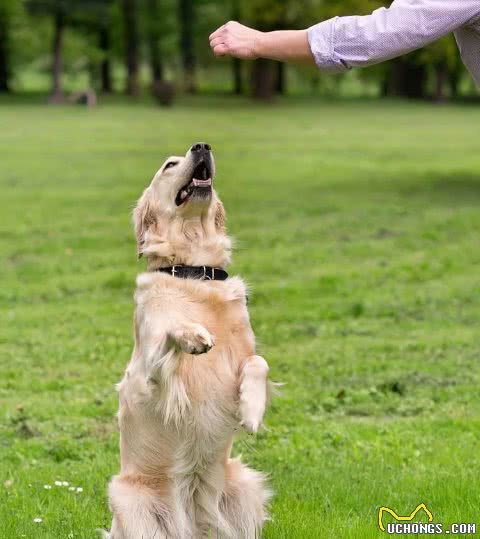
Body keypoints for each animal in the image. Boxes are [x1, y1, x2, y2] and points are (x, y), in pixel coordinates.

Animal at [107, 143, 272, 539]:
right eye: (169, 165)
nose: (201, 146)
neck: (194, 272)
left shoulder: (244, 353)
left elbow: (258, 362)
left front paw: (251, 409)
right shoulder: (143, 380)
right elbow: (168, 334)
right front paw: (193, 334)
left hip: (244, 484)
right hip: (129, 500)